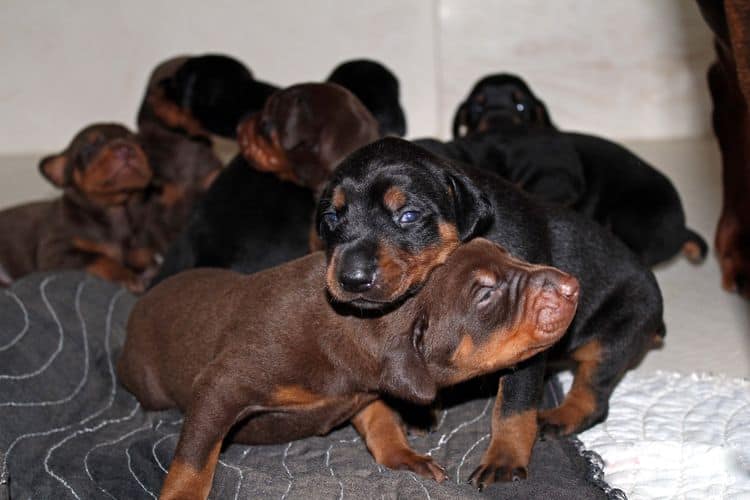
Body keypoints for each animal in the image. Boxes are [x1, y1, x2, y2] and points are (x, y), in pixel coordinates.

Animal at [0, 122, 156, 292]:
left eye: (139, 143)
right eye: (89, 148)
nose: (125, 148)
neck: (116, 209)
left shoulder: (141, 254)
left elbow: (147, 264)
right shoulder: (55, 253)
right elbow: (100, 257)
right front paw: (124, 276)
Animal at [117, 239, 580, 500]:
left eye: (508, 253)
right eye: (484, 294)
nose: (572, 286)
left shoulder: (366, 389)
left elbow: (381, 422)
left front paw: (404, 456)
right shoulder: (223, 384)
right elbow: (194, 461)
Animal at [316, 139, 664, 490]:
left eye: (408, 215)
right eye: (331, 217)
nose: (352, 279)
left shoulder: (527, 335)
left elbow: (512, 407)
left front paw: (504, 461)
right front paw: (421, 412)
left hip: (617, 332)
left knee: (595, 394)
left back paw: (557, 418)